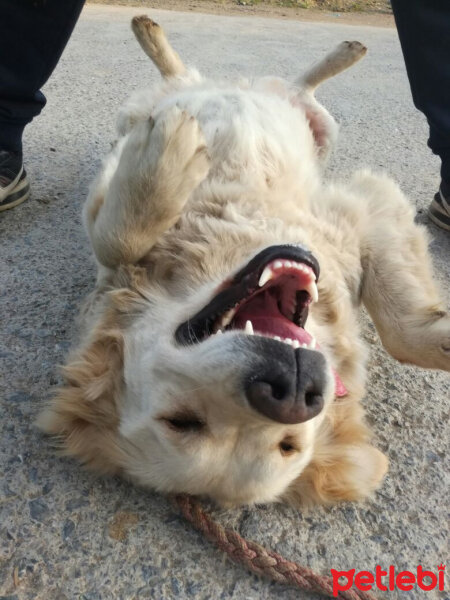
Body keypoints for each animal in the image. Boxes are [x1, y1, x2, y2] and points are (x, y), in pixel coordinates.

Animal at [38, 16, 450, 508]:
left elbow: (403, 336)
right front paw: (166, 158)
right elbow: (114, 241)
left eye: (288, 447)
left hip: (318, 127)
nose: (291, 391)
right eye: (182, 421)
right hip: (137, 113)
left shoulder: (361, 211)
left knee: (290, 83)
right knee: (184, 78)